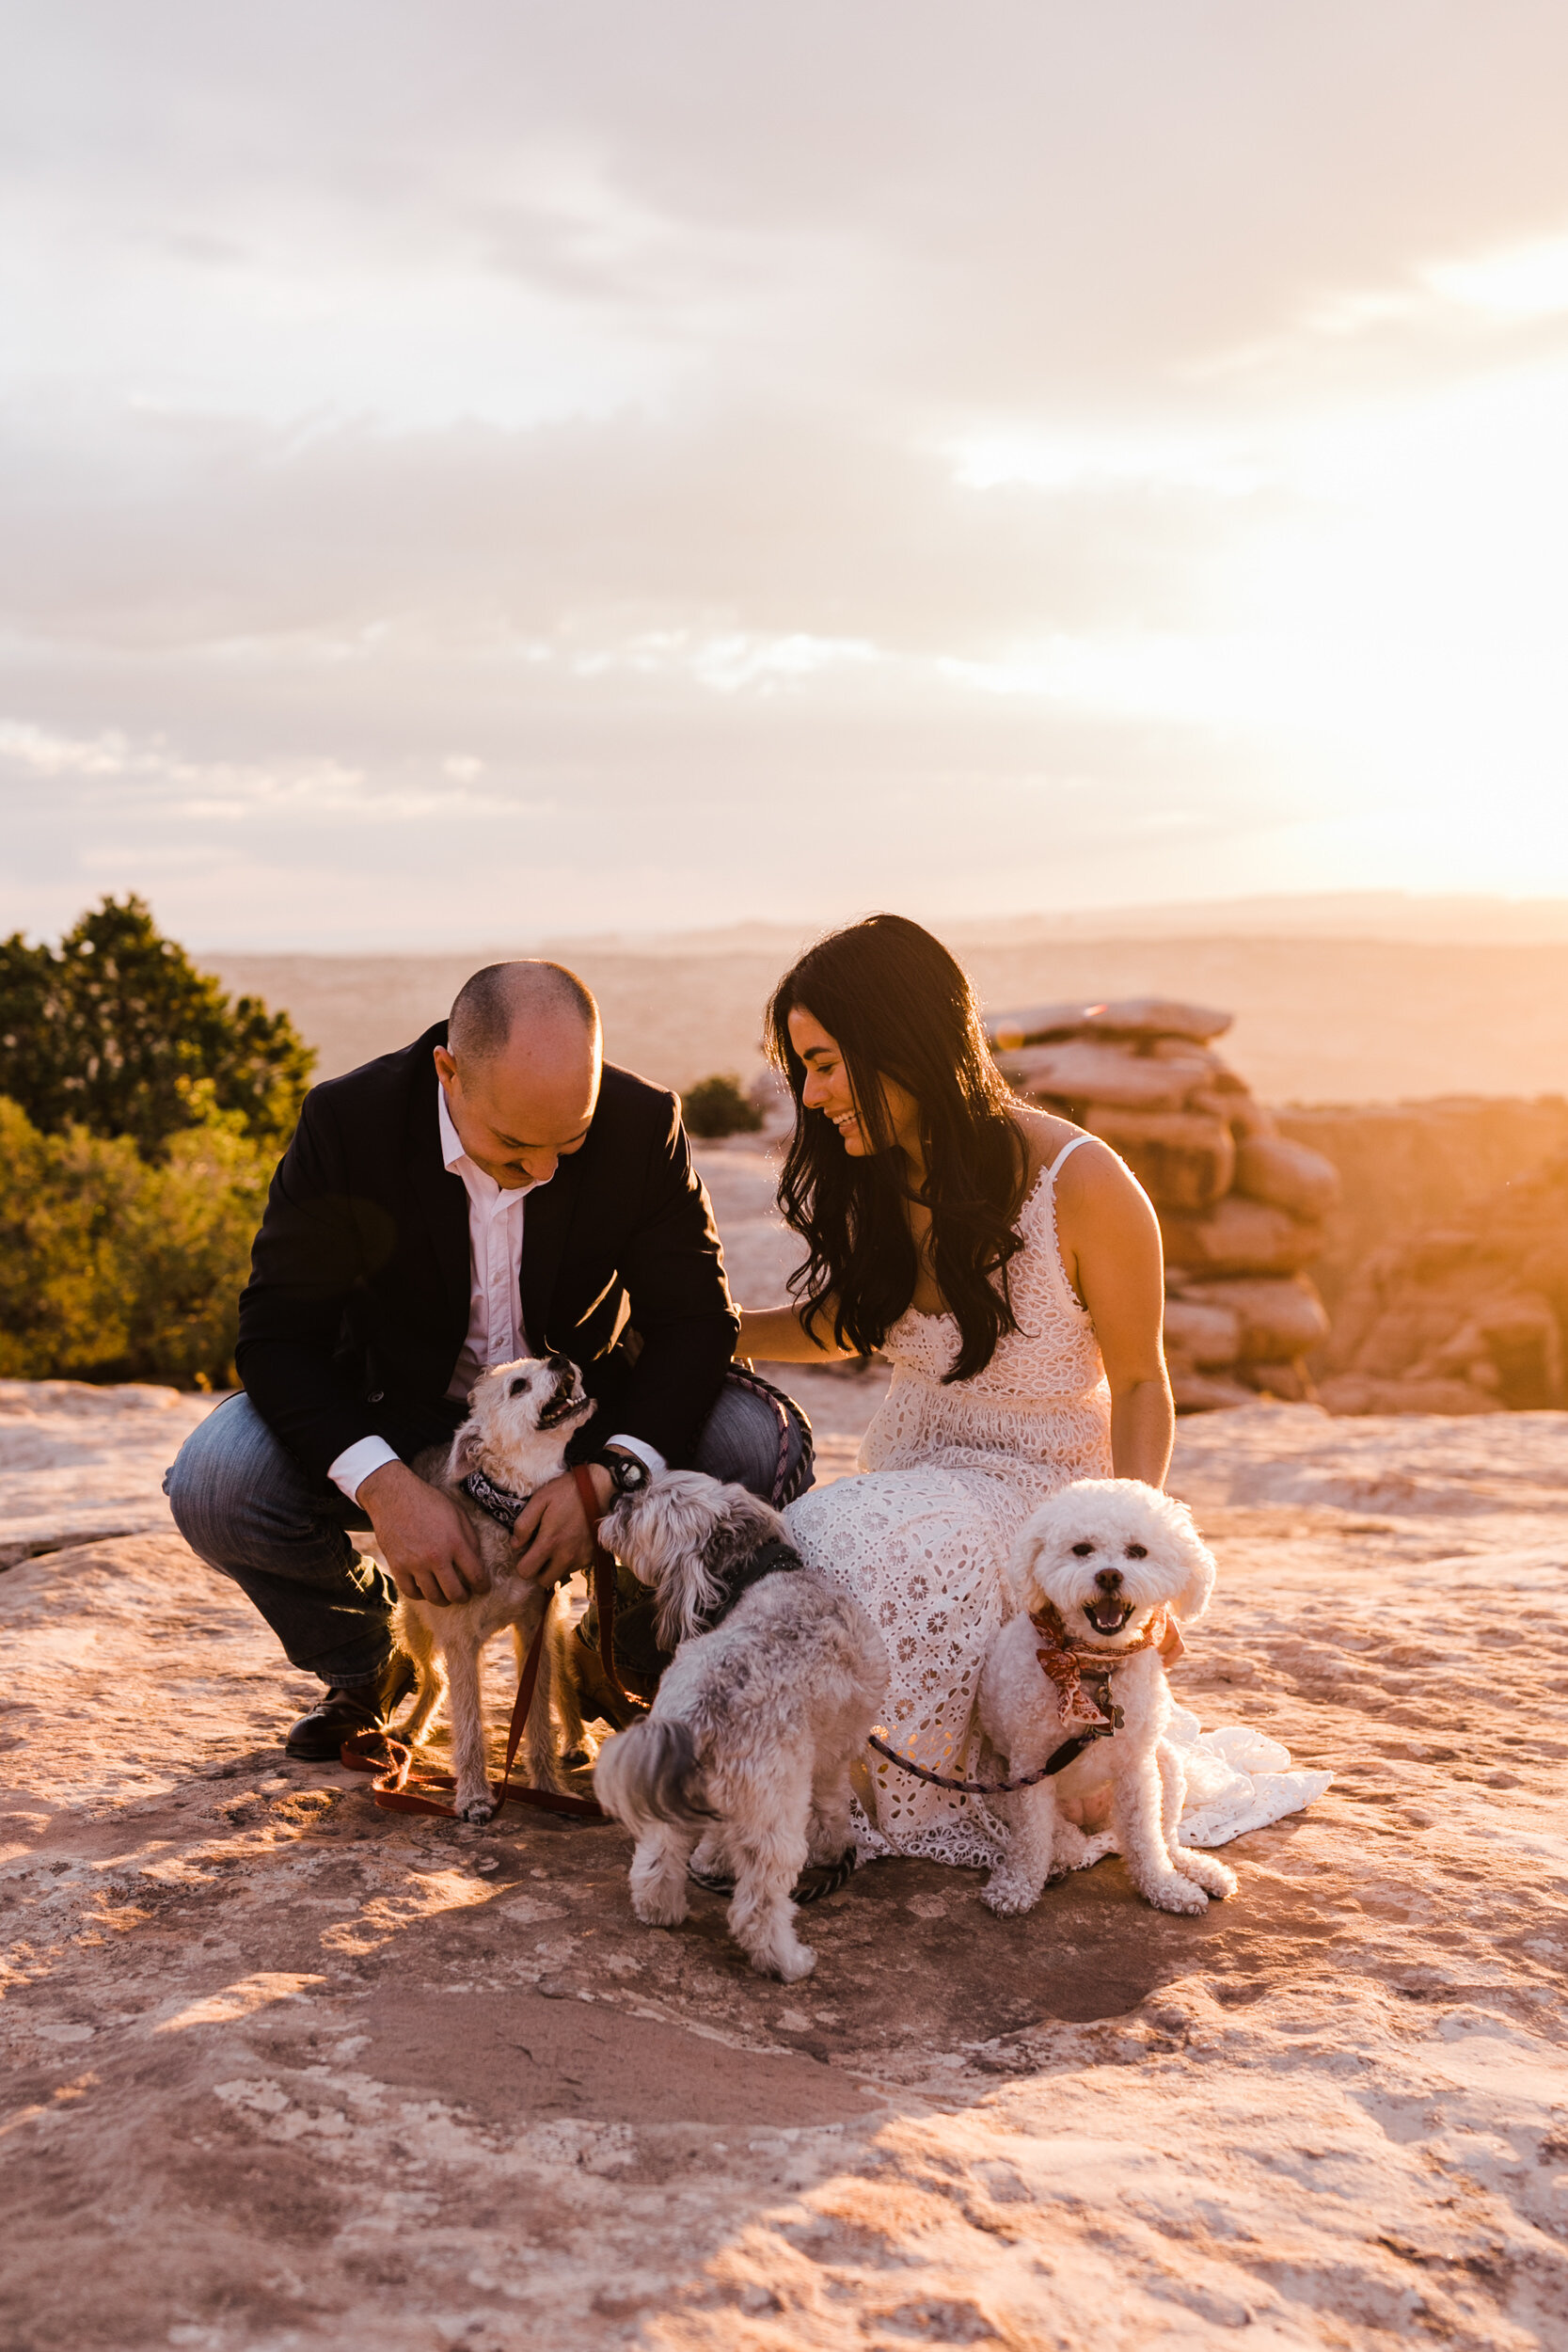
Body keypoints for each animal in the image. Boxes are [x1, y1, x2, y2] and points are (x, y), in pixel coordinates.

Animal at [399, 1355, 594, 1825]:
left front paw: (549, 1791)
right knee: (433, 1679)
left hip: (555, 1631)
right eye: (518, 1386)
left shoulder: (534, 1630)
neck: (507, 1511)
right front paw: (473, 1797)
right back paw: (411, 1727)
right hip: (414, 1625)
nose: (559, 1357)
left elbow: (538, 1721)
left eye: (543, 1361)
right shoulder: (460, 1642)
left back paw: (578, 1740)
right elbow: (470, 1725)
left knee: (565, 1683)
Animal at [592, 1477, 888, 1976]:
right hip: (775, 1815)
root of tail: (707, 1710)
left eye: (642, 1510)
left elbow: (714, 1839)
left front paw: (711, 1861)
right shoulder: (833, 1754)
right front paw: (838, 1848)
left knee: (656, 1859)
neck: (761, 1576)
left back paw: (659, 1910)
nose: (618, 1500)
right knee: (758, 1905)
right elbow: (830, 1806)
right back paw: (785, 1960)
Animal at [982, 1477, 1241, 1919]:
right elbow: (1031, 1838)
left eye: (1137, 1551)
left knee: (1165, 1837)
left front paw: (1165, 1888)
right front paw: (1016, 1887)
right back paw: (1062, 1855)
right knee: (1059, 1834)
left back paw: (1200, 1870)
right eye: (1081, 1549)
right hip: (995, 1777)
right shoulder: (1030, 1764)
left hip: (1166, 1764)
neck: (1091, 1667)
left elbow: (1146, 1839)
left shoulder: (1137, 1768)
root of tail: (1093, 1822)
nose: (1108, 1575)